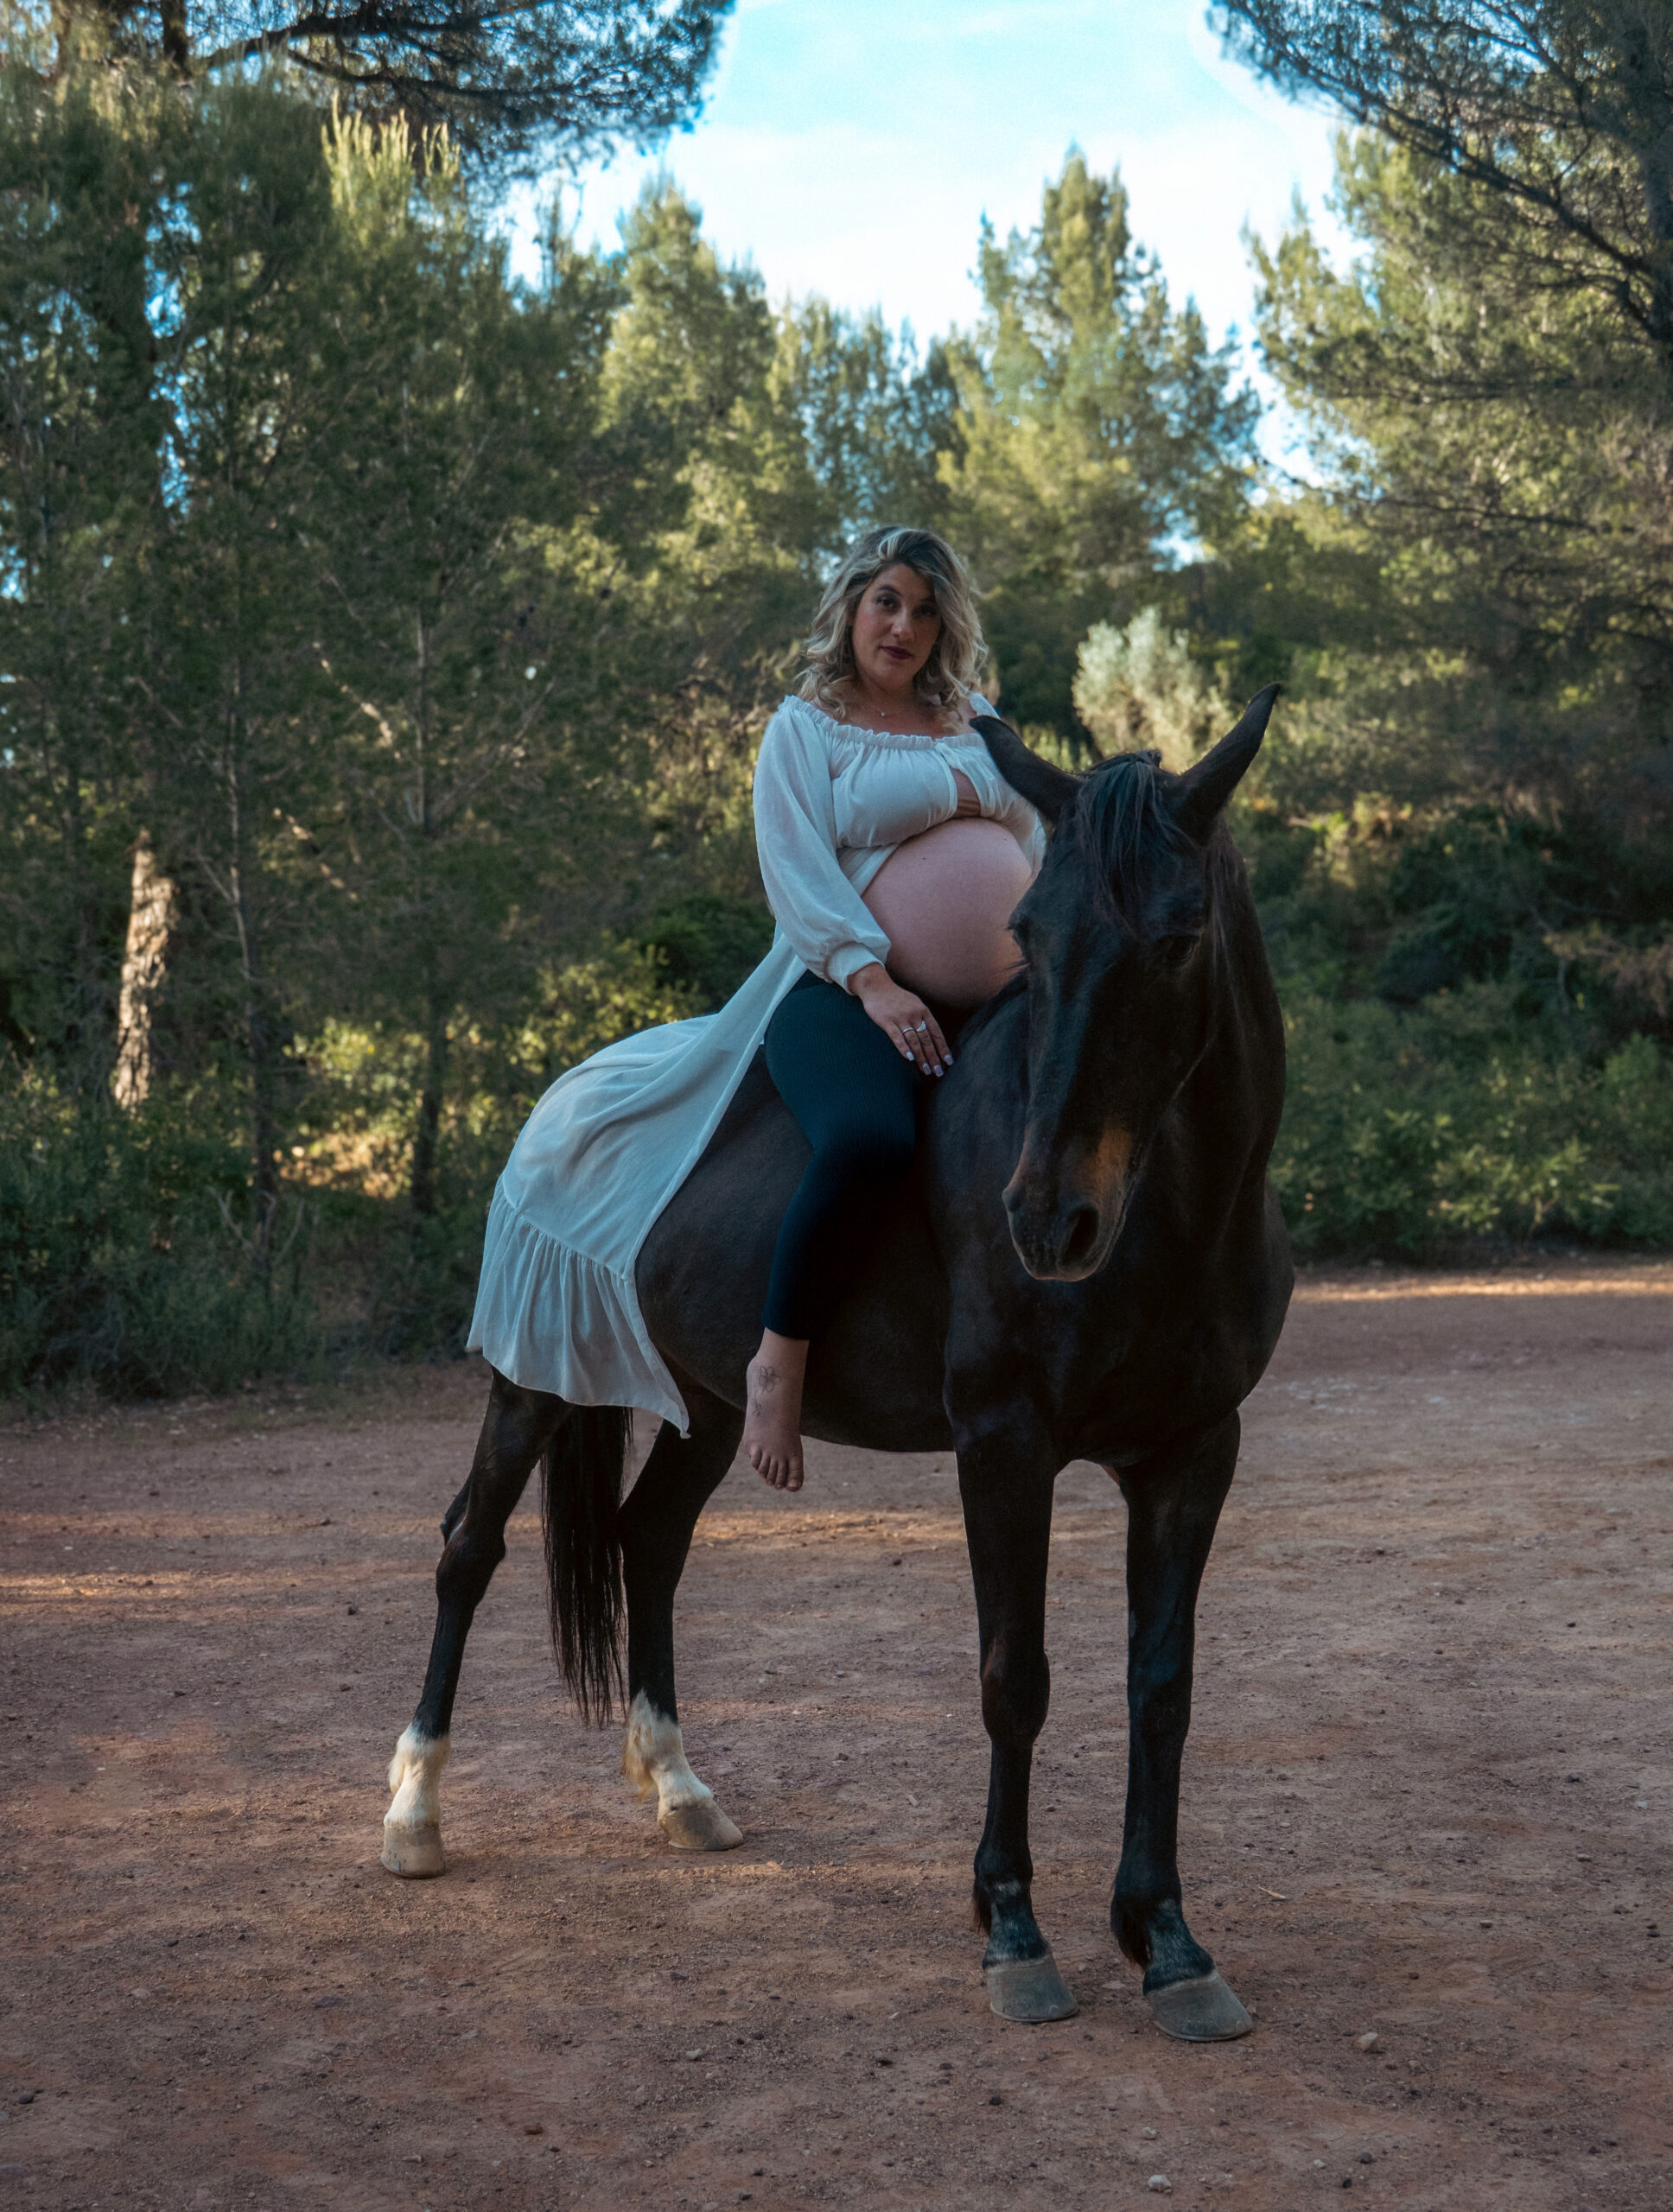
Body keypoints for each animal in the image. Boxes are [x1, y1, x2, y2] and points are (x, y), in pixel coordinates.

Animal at [380, 686, 1292, 2041]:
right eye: (1029, 930)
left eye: (1180, 935)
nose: (1046, 1220)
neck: (1170, 1223)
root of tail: (570, 1087)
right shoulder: (1004, 1447)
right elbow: (1014, 1679)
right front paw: (1013, 1927)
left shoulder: (1192, 1453)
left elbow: (1161, 1688)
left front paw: (1168, 1941)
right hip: (532, 1382)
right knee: (467, 1551)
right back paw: (414, 1811)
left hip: (706, 1404)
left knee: (650, 1540)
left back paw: (682, 1789)